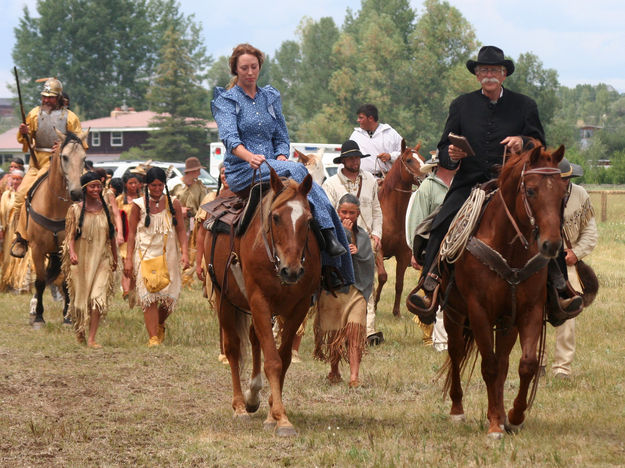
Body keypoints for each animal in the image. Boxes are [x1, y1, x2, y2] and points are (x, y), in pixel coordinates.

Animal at [26, 127, 86, 326]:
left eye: (83, 158)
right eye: (65, 157)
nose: (76, 193)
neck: (53, 205)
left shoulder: (65, 248)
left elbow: (65, 281)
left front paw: (67, 317)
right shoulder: (36, 248)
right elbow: (40, 281)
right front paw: (38, 316)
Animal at [205, 167, 320, 436]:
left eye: (309, 220)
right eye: (275, 217)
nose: (292, 271)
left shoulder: (298, 306)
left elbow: (283, 358)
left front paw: (271, 414)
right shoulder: (259, 300)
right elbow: (273, 361)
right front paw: (282, 419)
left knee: (254, 337)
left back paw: (252, 395)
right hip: (225, 299)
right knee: (233, 348)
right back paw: (239, 406)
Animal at [372, 143, 426, 316]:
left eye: (422, 158)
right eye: (409, 160)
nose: (426, 175)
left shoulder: (404, 254)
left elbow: (399, 283)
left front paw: (396, 312)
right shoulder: (378, 249)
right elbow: (383, 276)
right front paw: (374, 304)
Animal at [438, 144, 564, 438]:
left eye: (563, 193)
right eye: (531, 190)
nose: (551, 245)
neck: (510, 247)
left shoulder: (529, 311)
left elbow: (525, 364)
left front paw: (514, 416)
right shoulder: (479, 311)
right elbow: (490, 366)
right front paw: (495, 423)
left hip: (507, 322)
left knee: (505, 361)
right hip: (454, 314)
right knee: (456, 352)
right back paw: (458, 410)